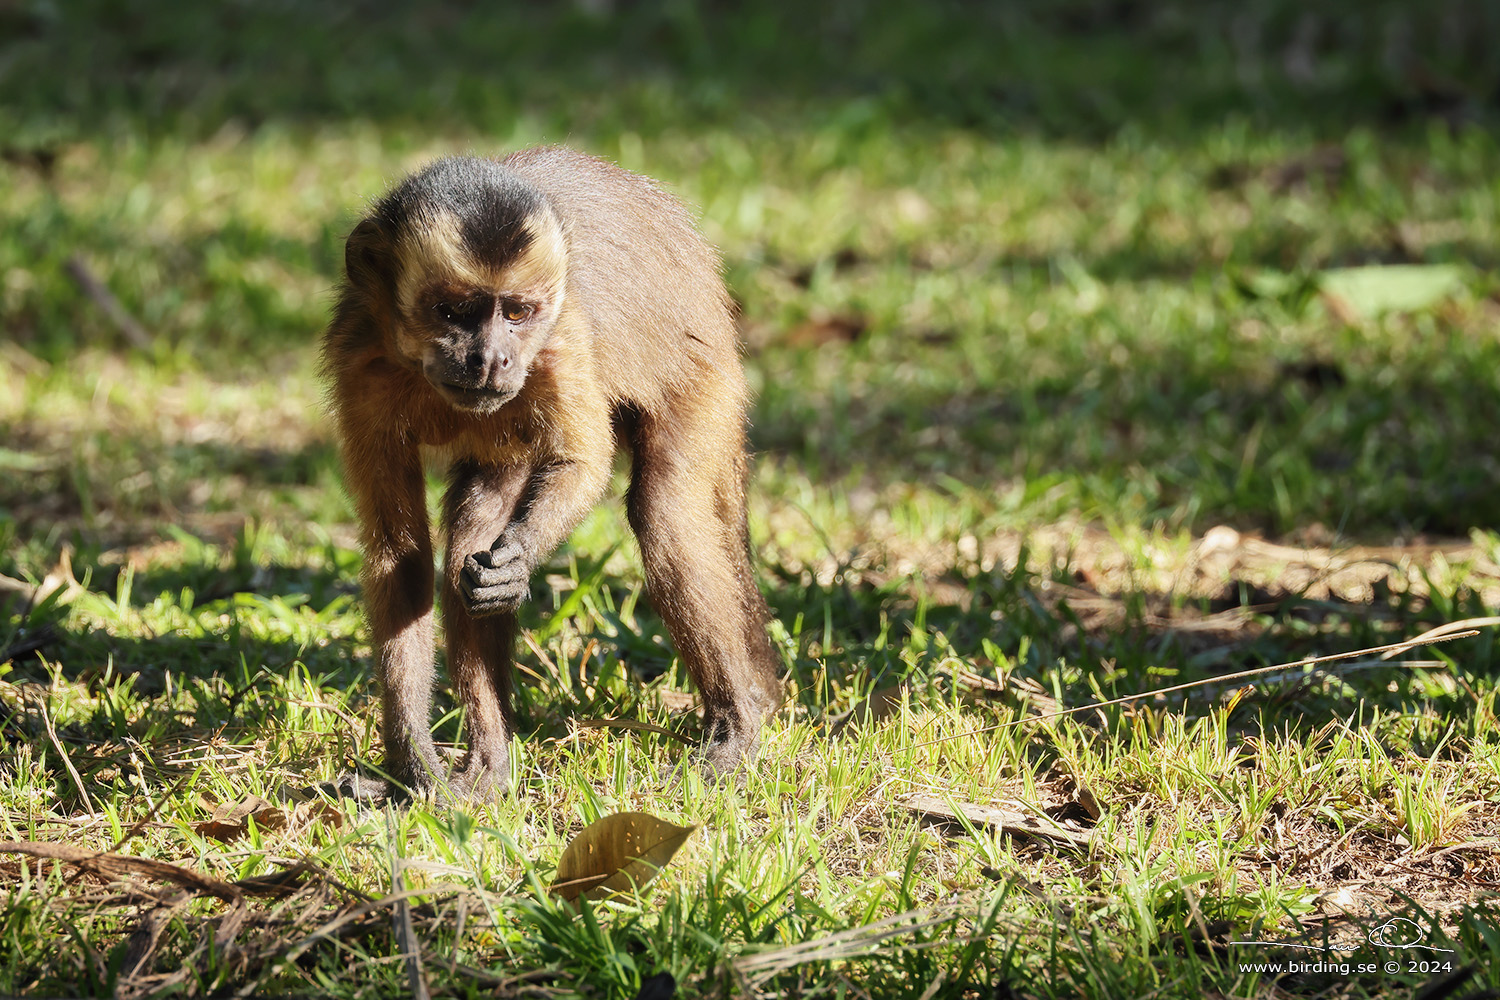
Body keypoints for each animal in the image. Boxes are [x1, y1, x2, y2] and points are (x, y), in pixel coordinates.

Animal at [327, 146, 786, 797]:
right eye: (454, 312)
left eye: (518, 312)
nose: (492, 358)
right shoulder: (358, 363)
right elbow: (401, 554)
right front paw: (411, 764)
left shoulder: (561, 336)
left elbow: (583, 464)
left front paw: (516, 559)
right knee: (473, 525)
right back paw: (491, 761)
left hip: (705, 373)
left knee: (664, 510)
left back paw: (736, 729)